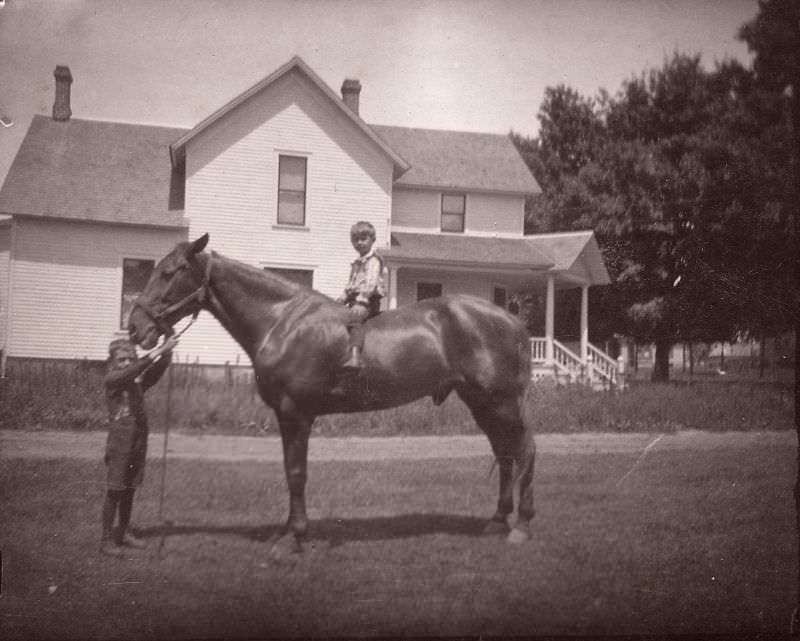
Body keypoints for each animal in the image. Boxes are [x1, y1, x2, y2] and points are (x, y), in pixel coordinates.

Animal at [131, 234, 536, 552]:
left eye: (169, 272)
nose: (136, 328)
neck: (283, 322)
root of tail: (512, 321)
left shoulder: (296, 413)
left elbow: (297, 473)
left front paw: (294, 537)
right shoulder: (286, 416)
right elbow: (290, 471)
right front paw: (290, 531)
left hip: (501, 403)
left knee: (524, 452)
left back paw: (522, 525)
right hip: (482, 404)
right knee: (505, 455)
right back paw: (497, 521)